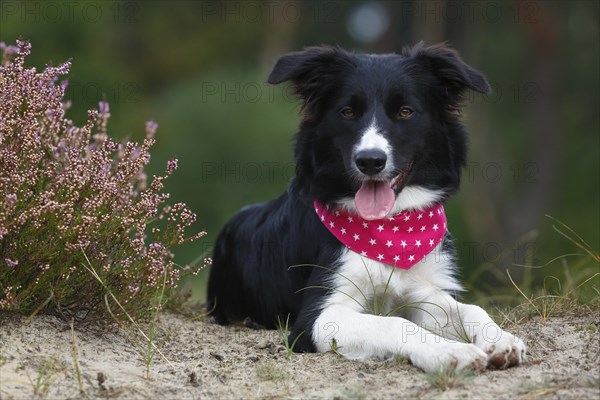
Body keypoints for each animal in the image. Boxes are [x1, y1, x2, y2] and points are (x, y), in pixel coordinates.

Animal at [206, 43, 524, 372]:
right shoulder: (317, 318)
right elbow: (394, 323)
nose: (370, 160)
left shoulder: (424, 292)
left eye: (405, 112)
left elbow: (471, 309)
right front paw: (450, 352)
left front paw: (500, 339)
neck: (390, 227)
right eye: (347, 112)